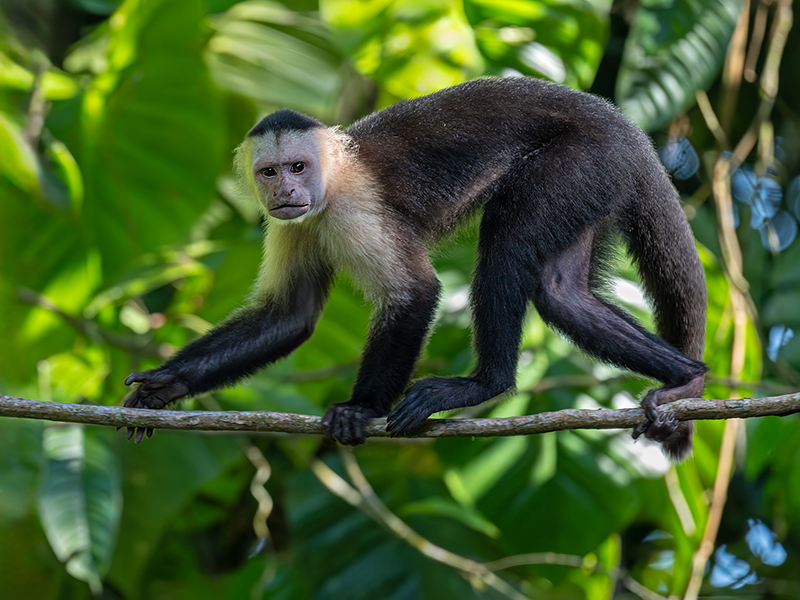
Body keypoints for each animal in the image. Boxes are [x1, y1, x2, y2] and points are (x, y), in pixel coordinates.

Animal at [123, 76, 707, 460]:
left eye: (298, 167)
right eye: (270, 172)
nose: (286, 191)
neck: (331, 181)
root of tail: (622, 123)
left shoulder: (354, 208)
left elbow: (416, 293)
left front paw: (360, 408)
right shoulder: (292, 224)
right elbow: (290, 316)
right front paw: (164, 386)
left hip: (582, 158)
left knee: (506, 247)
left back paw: (485, 383)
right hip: (597, 181)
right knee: (561, 291)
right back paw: (687, 378)